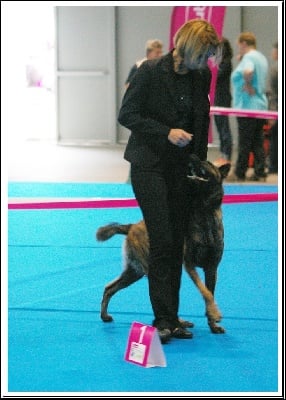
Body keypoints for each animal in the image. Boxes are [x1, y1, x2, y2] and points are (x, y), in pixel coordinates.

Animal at [96, 155, 230, 332]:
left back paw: (105, 316)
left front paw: (213, 324)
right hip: (150, 266)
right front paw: (215, 313)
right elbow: (205, 292)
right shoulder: (190, 265)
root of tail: (132, 226)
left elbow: (210, 293)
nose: (192, 156)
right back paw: (175, 322)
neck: (204, 212)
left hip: (134, 271)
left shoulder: (212, 268)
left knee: (109, 288)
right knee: (162, 292)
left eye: (206, 162)